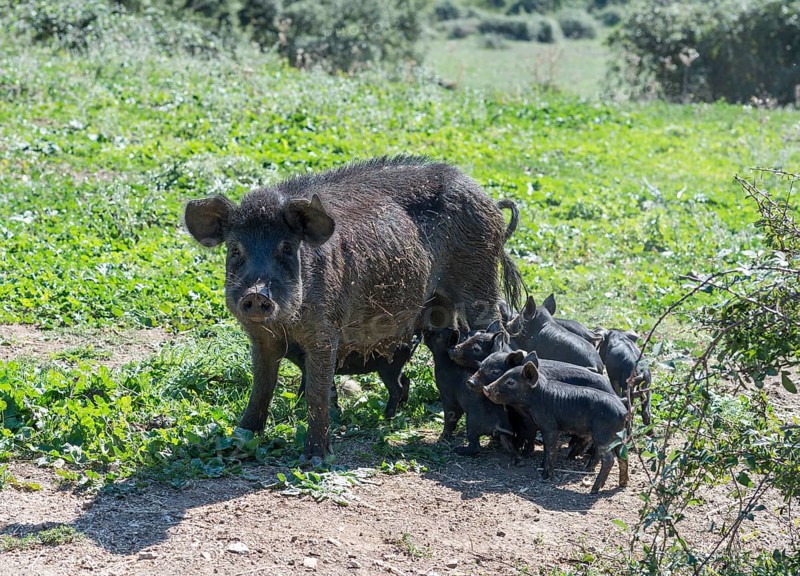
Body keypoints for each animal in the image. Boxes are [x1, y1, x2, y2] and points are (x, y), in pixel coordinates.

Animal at [423, 328, 528, 456]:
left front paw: (443, 437)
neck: (445, 362)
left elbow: (450, 417)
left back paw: (458, 449)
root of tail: (497, 424)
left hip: (471, 423)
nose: (426, 330)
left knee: (475, 447)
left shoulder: (447, 397)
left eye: (438, 335)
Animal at [482, 354, 629, 494]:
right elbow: (546, 448)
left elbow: (550, 448)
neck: (537, 398)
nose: (486, 388)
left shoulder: (550, 426)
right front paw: (541, 467)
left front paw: (545, 476)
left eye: (510, 382)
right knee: (622, 456)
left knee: (609, 459)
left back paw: (593, 490)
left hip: (603, 435)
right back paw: (622, 484)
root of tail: (624, 412)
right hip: (617, 436)